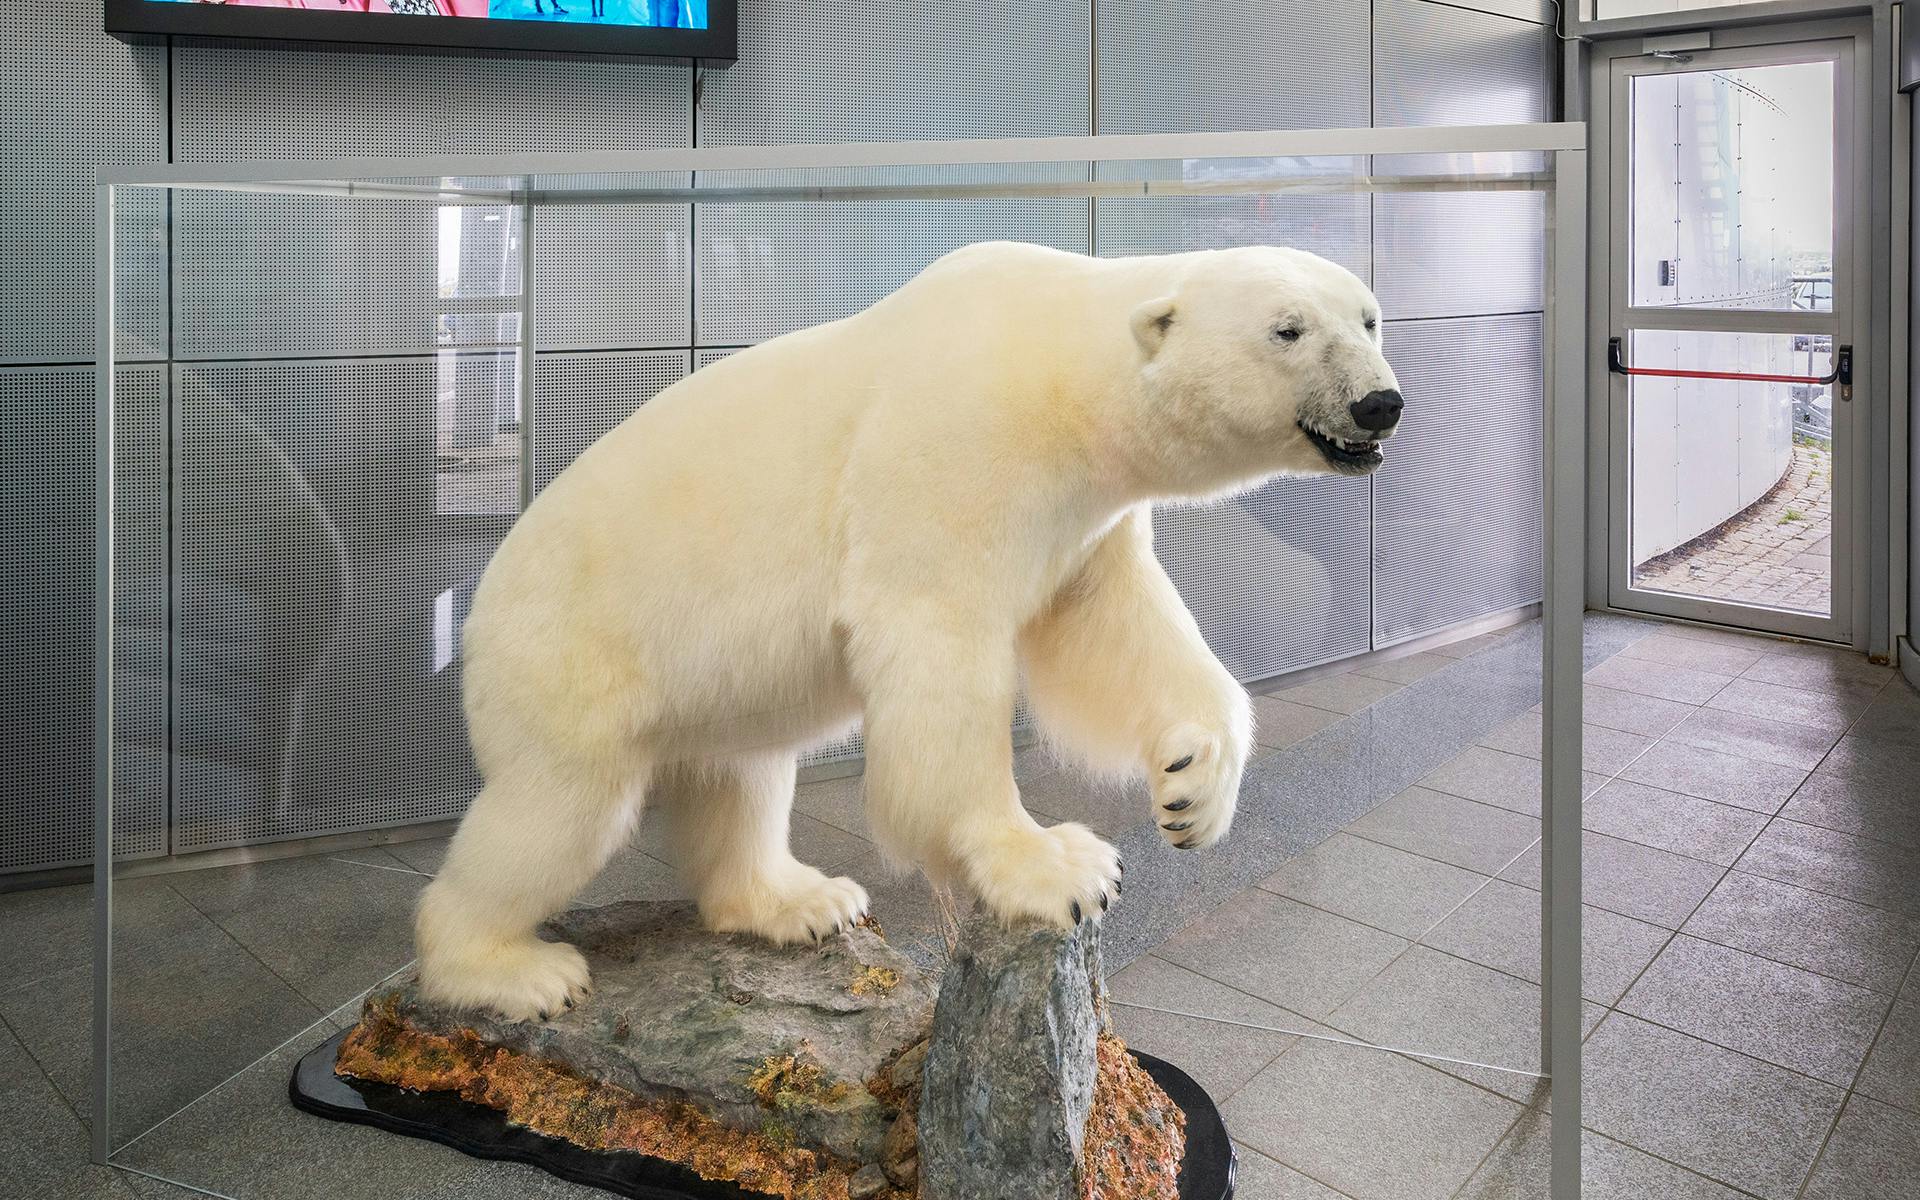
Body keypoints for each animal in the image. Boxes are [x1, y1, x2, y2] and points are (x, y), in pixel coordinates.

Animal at [412, 243, 1405, 1021]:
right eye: (1287, 330)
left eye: (1369, 318)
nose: (1380, 404)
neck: (1060, 377)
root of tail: (480, 603)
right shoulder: (955, 452)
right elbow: (942, 649)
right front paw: (1056, 865)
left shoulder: (1085, 522)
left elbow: (1117, 633)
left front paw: (1193, 788)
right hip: (572, 657)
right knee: (556, 814)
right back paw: (511, 970)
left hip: (711, 695)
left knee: (741, 780)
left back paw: (798, 901)